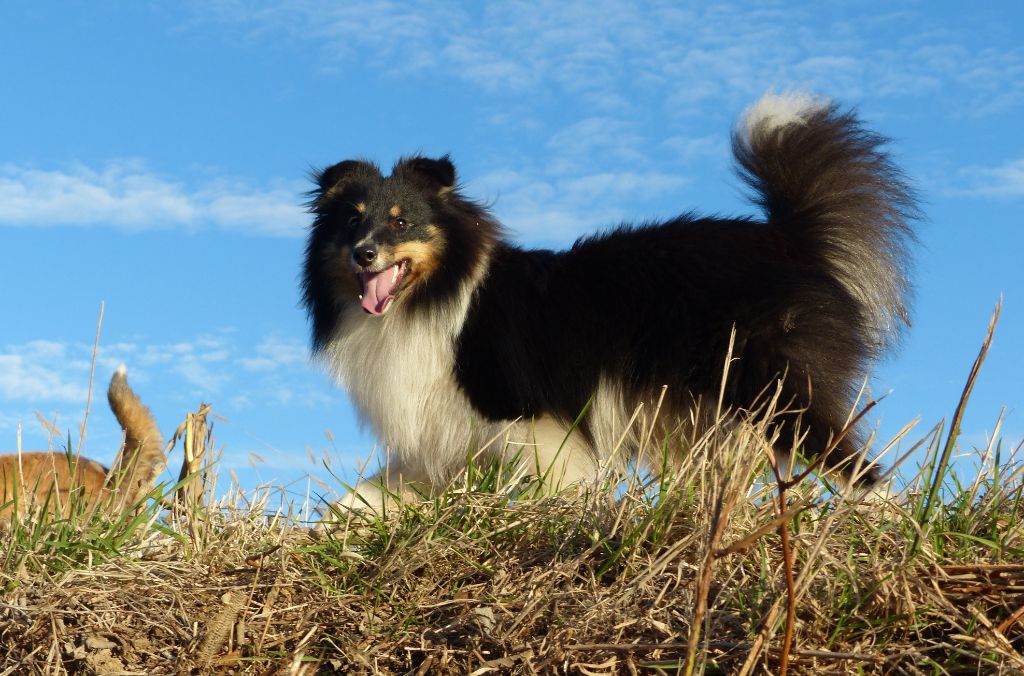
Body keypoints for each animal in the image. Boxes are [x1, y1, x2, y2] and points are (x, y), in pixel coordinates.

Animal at [301, 92, 913, 510]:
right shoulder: (438, 438)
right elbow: (366, 497)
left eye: (402, 221)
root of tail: (787, 239)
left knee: (860, 469)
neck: (432, 296)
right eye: (352, 221)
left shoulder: (534, 419)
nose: (363, 254)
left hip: (775, 388)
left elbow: (556, 480)